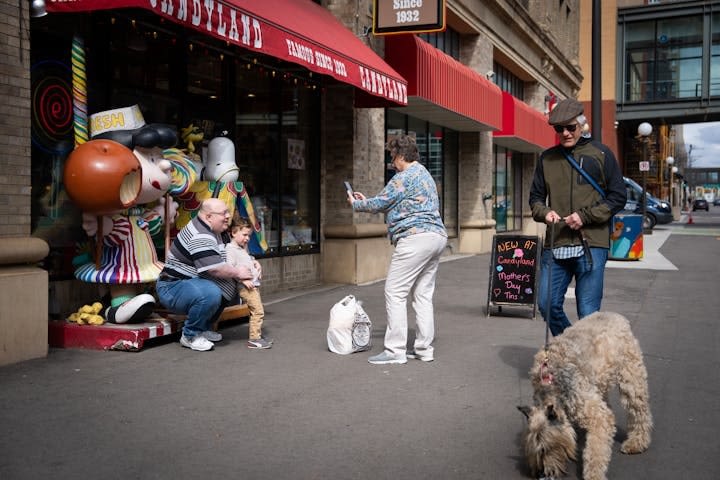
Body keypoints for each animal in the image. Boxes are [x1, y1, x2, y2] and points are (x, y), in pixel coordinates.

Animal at [516, 312, 652, 480]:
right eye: (531, 451)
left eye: (545, 448)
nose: (541, 474)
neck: (551, 385)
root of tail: (615, 315)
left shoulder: (597, 416)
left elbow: (595, 452)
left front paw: (594, 474)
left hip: (631, 380)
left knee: (640, 412)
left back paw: (637, 442)